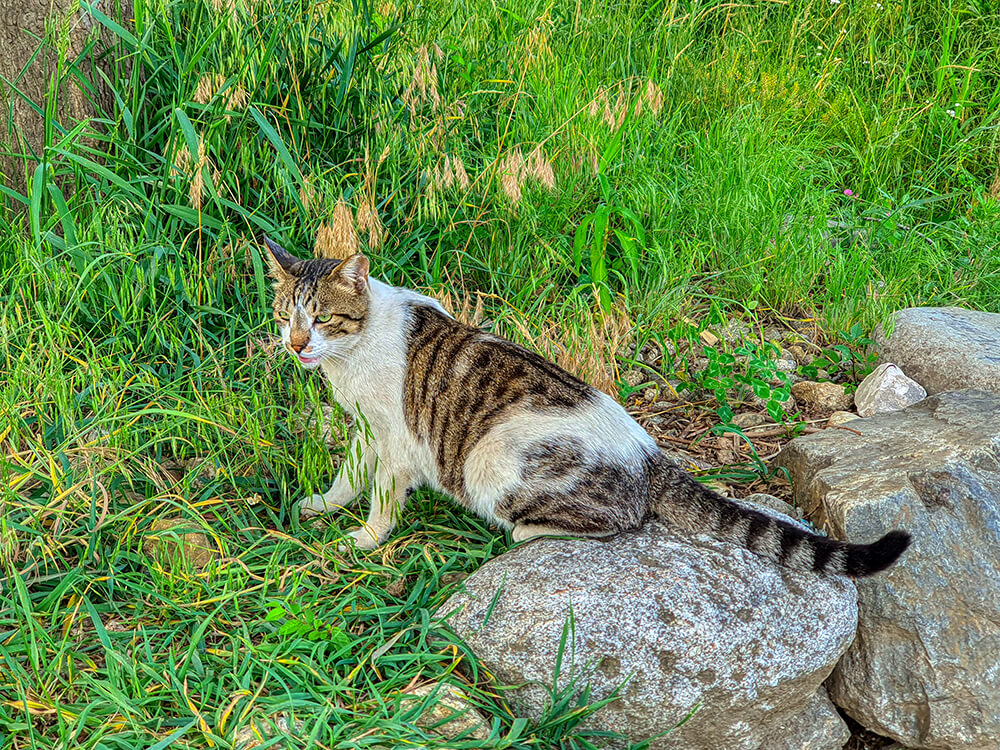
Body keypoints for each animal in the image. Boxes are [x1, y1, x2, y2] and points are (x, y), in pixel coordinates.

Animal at [262, 238, 912, 580]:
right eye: (285, 315)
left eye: (322, 317)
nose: (296, 345)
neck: (351, 354)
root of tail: (649, 453)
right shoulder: (366, 431)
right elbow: (349, 475)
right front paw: (323, 506)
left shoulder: (395, 437)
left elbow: (382, 498)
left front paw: (364, 539)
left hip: (488, 462)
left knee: (617, 521)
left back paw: (525, 530)